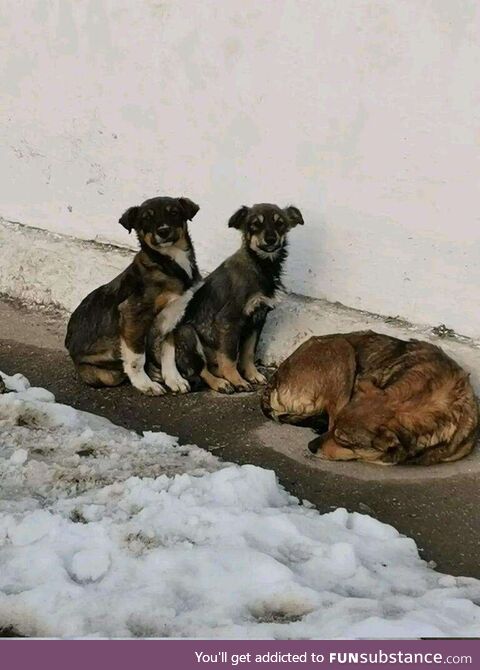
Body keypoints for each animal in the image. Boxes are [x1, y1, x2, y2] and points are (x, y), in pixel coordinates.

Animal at [64, 196, 200, 394]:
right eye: (146, 218)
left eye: (174, 212)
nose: (163, 231)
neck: (168, 262)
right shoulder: (133, 314)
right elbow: (137, 358)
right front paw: (145, 385)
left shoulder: (173, 316)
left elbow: (169, 352)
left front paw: (174, 379)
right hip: (105, 371)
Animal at [146, 202, 304, 396]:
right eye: (255, 224)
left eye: (280, 223)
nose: (270, 239)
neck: (261, 265)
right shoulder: (229, 320)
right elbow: (230, 357)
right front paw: (238, 380)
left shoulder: (258, 318)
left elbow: (248, 352)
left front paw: (252, 374)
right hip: (187, 333)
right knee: (200, 369)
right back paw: (221, 382)